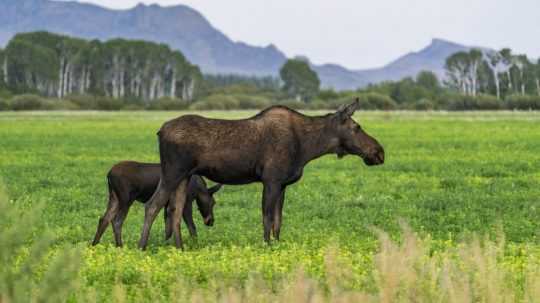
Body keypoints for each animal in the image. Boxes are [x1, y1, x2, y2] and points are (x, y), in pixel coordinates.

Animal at [93, 162, 221, 247]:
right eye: (213, 202)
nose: (211, 221)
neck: (198, 189)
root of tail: (108, 175)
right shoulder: (187, 202)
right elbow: (191, 226)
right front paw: (195, 244)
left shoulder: (167, 205)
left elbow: (168, 228)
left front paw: (166, 244)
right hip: (126, 198)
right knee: (117, 221)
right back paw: (120, 246)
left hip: (114, 197)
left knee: (104, 219)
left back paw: (94, 244)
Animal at [139, 99, 384, 249]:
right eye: (357, 127)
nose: (379, 152)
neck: (308, 147)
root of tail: (159, 131)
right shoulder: (271, 180)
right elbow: (267, 218)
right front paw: (266, 246)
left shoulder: (283, 184)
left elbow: (278, 221)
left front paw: (275, 244)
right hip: (172, 172)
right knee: (152, 205)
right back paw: (142, 246)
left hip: (184, 177)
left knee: (175, 210)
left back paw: (179, 248)